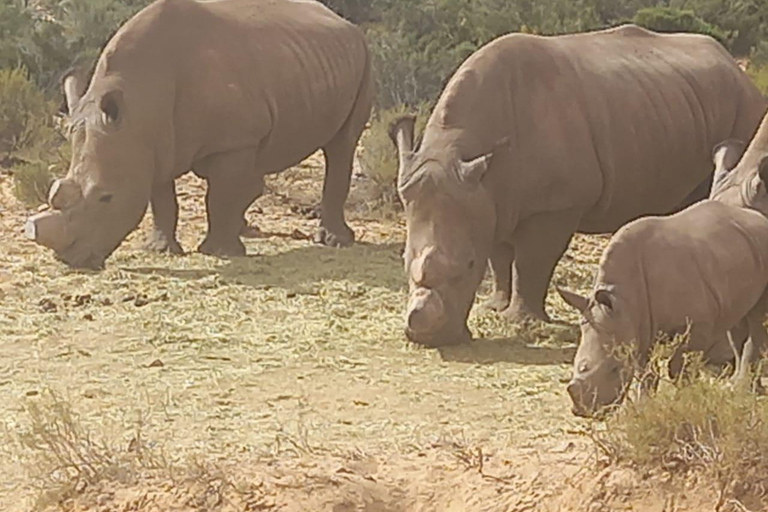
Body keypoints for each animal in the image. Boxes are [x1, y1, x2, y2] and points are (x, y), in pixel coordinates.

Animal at [24, 0, 372, 270]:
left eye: (106, 197)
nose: (70, 259)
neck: (140, 100)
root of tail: (341, 20)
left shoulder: (232, 142)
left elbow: (216, 197)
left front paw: (219, 252)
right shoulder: (149, 142)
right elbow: (162, 199)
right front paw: (161, 249)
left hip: (363, 57)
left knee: (341, 146)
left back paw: (335, 241)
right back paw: (244, 229)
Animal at [392, 23, 764, 344]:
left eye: (468, 265)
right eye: (403, 259)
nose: (425, 337)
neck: (459, 147)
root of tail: (735, 66)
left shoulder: (556, 205)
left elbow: (531, 262)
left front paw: (521, 321)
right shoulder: (489, 196)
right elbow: (498, 255)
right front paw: (495, 308)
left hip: (743, 105)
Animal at [556, 198, 768, 418]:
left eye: (614, 369)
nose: (585, 412)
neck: (623, 299)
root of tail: (759, 217)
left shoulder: (696, 324)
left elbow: (679, 368)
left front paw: (686, 402)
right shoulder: (637, 324)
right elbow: (645, 371)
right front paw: (645, 407)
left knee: (756, 319)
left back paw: (743, 390)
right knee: (738, 322)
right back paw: (741, 387)